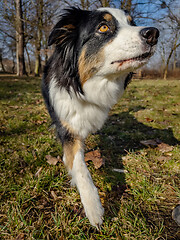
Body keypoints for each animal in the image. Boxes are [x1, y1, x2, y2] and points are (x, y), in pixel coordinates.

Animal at [41, 7, 159, 229]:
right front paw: (93, 208)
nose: (153, 33)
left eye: (132, 23)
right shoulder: (68, 130)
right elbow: (80, 167)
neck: (89, 89)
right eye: (103, 27)